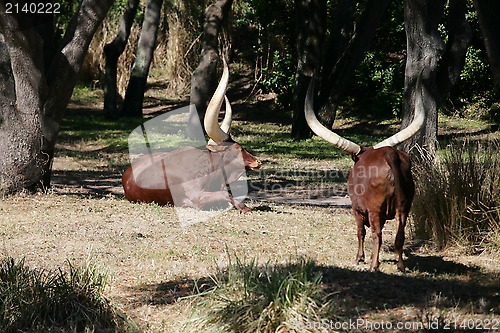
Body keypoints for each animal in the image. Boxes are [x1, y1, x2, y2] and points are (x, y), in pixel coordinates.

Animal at [122, 58, 262, 211]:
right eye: (238, 148)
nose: (257, 162)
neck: (211, 168)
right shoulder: (196, 198)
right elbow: (225, 195)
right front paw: (244, 207)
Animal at [302, 76, 424, 272]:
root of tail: (390, 155)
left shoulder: (356, 209)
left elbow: (361, 232)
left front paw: (359, 258)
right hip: (405, 207)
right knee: (400, 235)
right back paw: (400, 266)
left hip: (375, 209)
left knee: (376, 234)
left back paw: (374, 265)